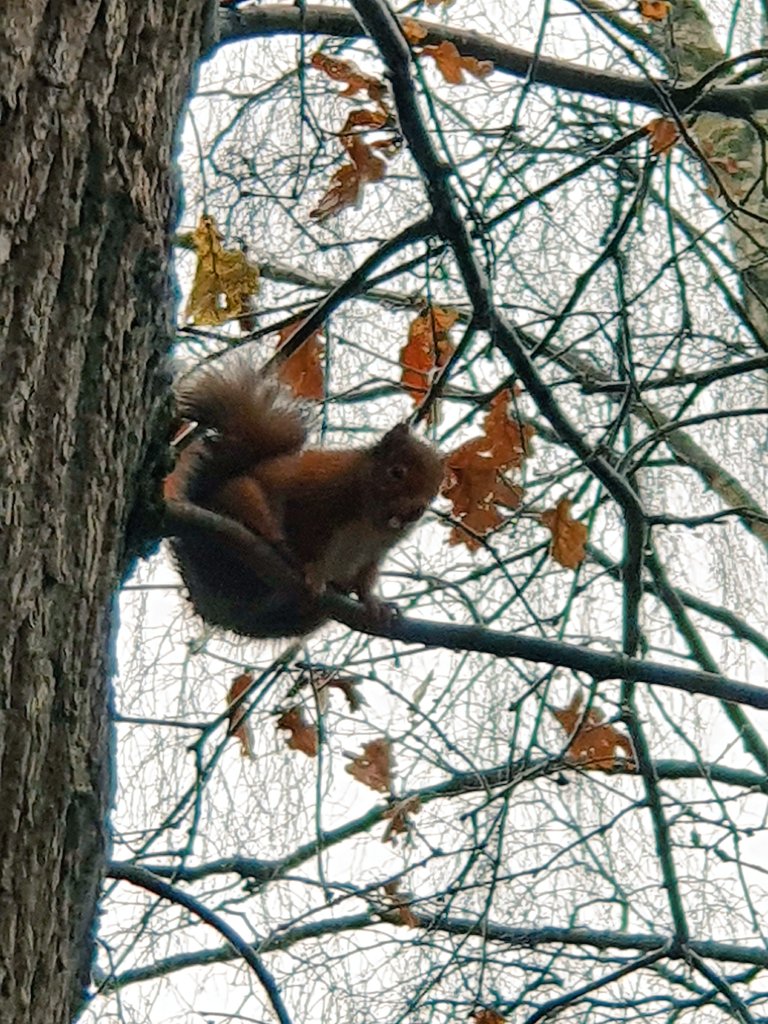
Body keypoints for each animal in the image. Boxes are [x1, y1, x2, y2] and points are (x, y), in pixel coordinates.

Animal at [166, 360, 445, 638]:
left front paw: (375, 604)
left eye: (434, 492)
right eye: (397, 472)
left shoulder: (374, 553)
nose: (415, 511)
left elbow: (365, 579)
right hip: (242, 499)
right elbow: (309, 543)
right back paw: (277, 547)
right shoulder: (315, 499)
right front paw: (313, 572)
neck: (370, 518)